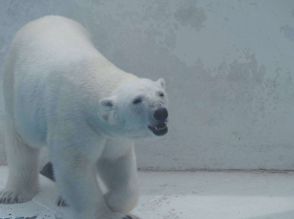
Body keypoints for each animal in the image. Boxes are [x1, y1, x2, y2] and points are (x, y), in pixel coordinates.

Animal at [0, 15, 168, 219]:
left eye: (160, 93)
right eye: (137, 100)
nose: (161, 112)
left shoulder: (112, 136)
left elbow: (116, 162)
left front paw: (111, 199)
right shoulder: (74, 121)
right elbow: (75, 168)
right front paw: (105, 212)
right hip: (16, 92)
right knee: (21, 142)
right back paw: (14, 194)